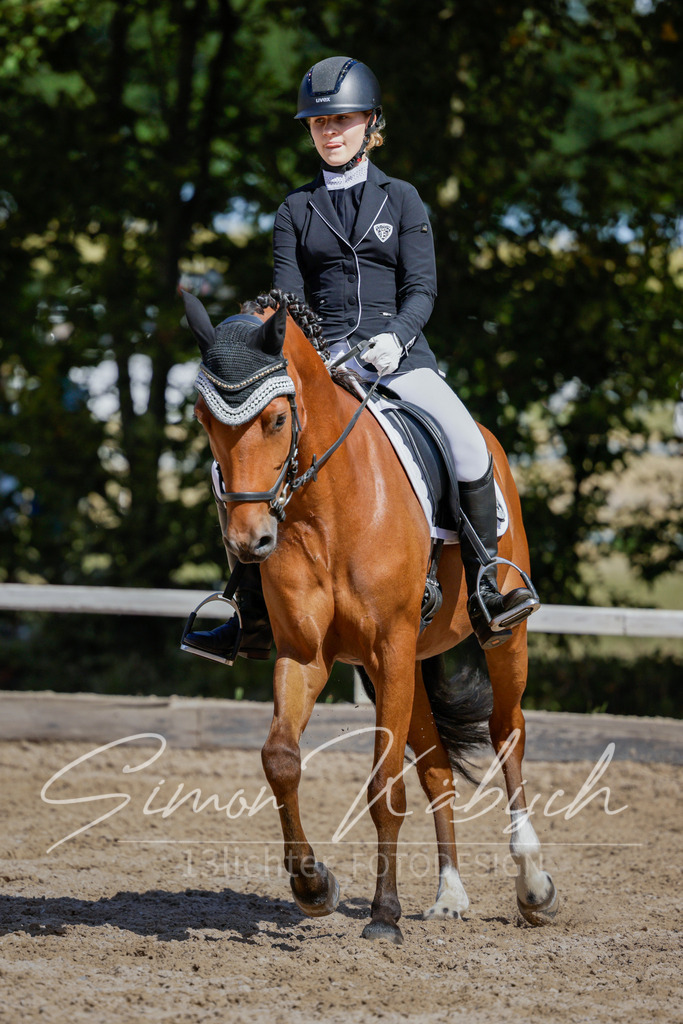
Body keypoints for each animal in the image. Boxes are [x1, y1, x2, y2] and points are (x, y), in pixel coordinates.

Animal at [183, 288, 558, 945]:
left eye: (276, 419)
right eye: (205, 421)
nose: (250, 541)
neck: (324, 508)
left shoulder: (390, 647)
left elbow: (384, 788)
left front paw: (383, 915)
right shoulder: (307, 655)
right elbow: (280, 759)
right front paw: (313, 888)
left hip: (499, 642)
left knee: (507, 735)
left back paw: (533, 885)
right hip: (410, 666)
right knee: (437, 771)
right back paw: (449, 895)